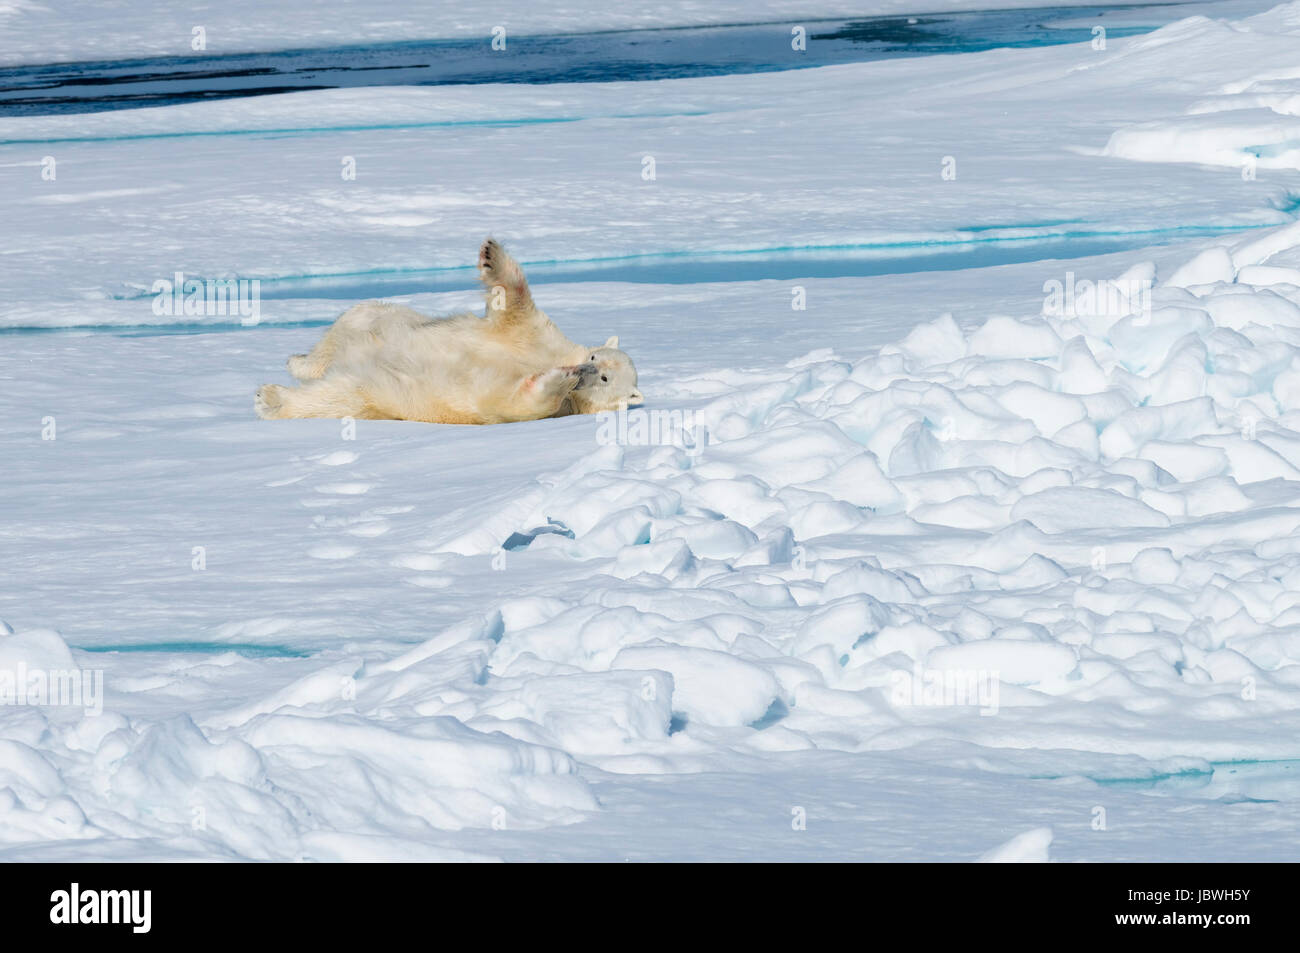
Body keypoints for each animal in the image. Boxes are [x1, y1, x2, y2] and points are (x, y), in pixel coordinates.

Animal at [253, 239, 639, 426]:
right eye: (595, 356)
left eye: (605, 378)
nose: (585, 369)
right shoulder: (536, 337)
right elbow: (514, 307)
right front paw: (491, 254)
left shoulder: (542, 406)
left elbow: (519, 402)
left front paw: (561, 376)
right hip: (381, 320)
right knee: (344, 332)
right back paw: (296, 364)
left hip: (375, 391)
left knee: (330, 397)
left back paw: (269, 398)